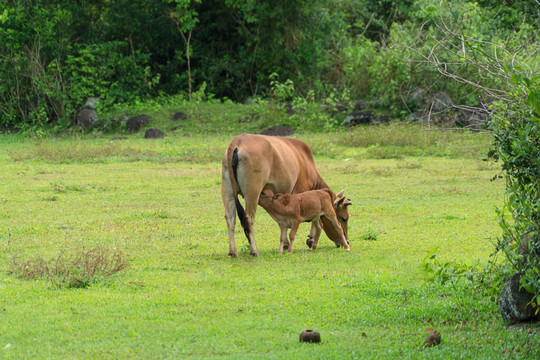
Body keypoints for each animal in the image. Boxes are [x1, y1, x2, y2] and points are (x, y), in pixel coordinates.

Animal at [221, 134, 352, 256]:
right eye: (344, 218)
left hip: (228, 191)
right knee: (248, 218)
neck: (305, 162)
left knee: (230, 218)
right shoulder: (300, 192)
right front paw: (309, 240)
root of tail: (238, 141)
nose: (346, 242)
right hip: (253, 192)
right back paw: (254, 251)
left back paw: (233, 251)